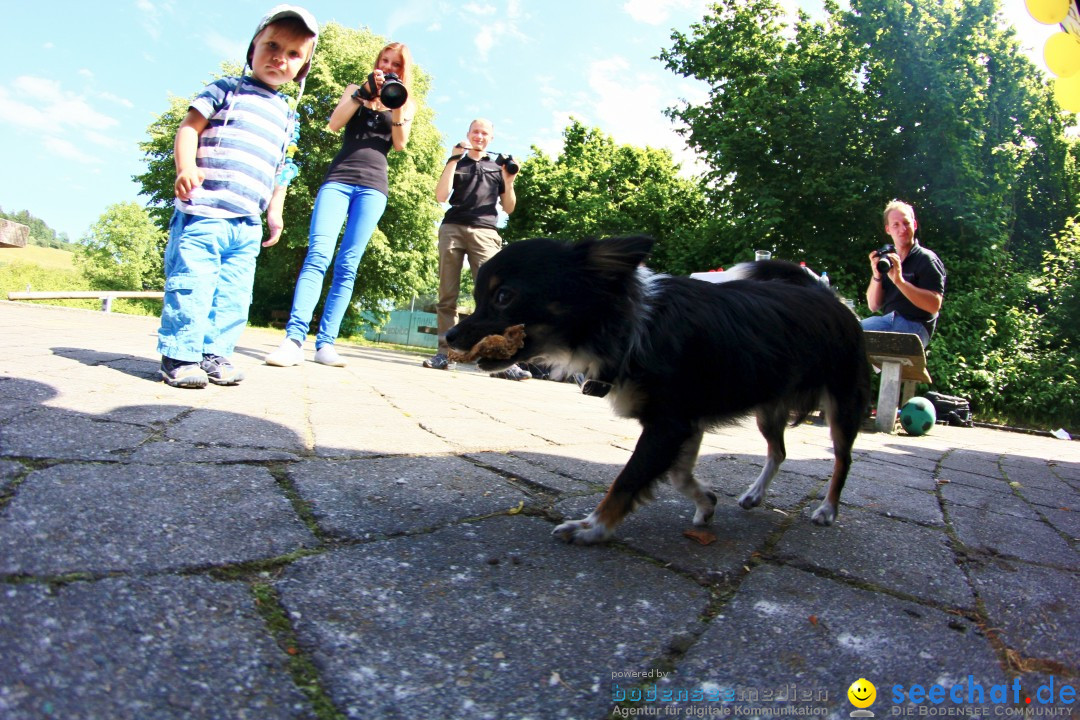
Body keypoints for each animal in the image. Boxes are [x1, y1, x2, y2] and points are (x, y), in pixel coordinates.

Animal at [442, 237, 872, 546]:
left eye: (503, 296)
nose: (449, 335)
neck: (631, 324)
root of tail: (829, 296)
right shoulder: (684, 423)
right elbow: (679, 475)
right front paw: (706, 502)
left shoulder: (668, 425)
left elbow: (628, 480)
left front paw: (592, 527)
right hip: (768, 406)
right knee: (778, 451)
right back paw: (754, 494)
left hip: (842, 404)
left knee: (843, 459)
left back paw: (827, 510)